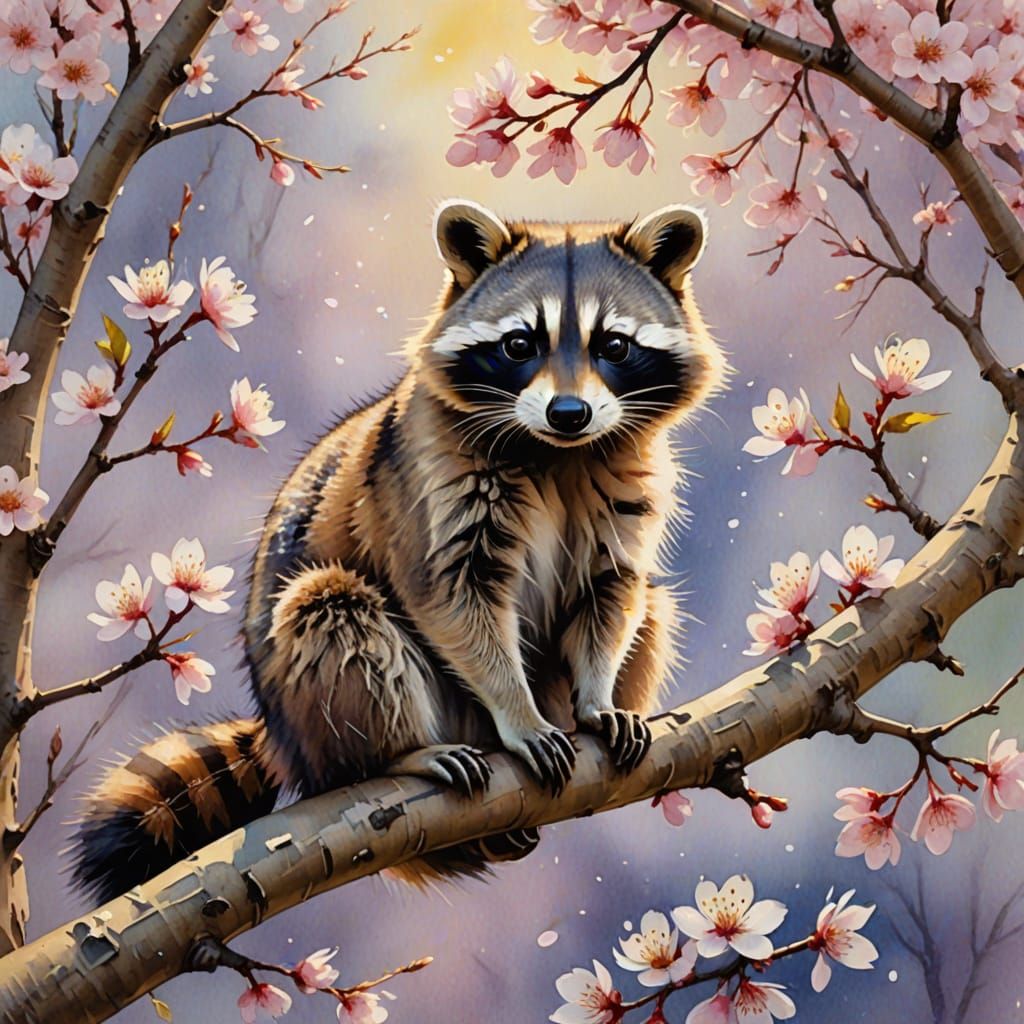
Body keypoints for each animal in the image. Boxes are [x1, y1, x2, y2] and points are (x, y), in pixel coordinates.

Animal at [71, 200, 725, 901]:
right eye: (520, 344)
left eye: (615, 345)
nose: (569, 412)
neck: (560, 453)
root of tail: (283, 738)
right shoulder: (431, 473)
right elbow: (453, 596)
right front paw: (517, 711)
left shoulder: (630, 484)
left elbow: (612, 589)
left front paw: (598, 696)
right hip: (324, 701)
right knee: (332, 611)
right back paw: (399, 752)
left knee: (651, 602)